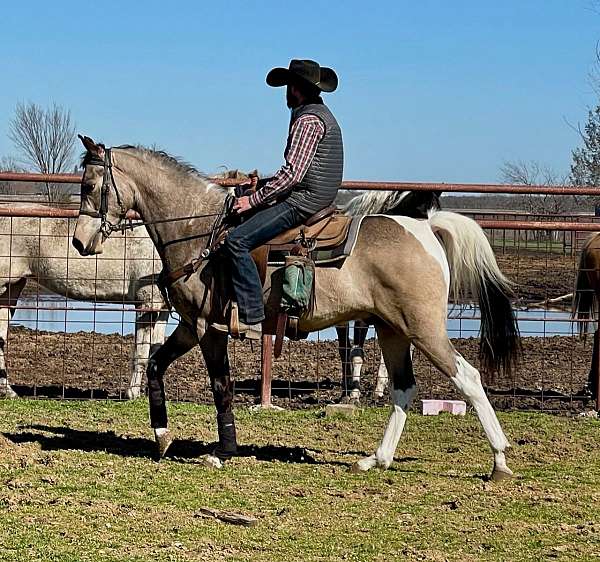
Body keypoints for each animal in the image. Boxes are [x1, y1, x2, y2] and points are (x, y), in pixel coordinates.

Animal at [71, 138, 520, 480]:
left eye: (90, 186)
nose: (79, 242)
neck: (200, 231)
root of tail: (425, 227)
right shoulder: (190, 324)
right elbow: (155, 365)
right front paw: (162, 436)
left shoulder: (209, 328)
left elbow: (221, 386)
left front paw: (224, 450)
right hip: (392, 329)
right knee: (403, 388)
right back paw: (375, 459)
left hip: (423, 329)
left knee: (468, 378)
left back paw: (499, 461)